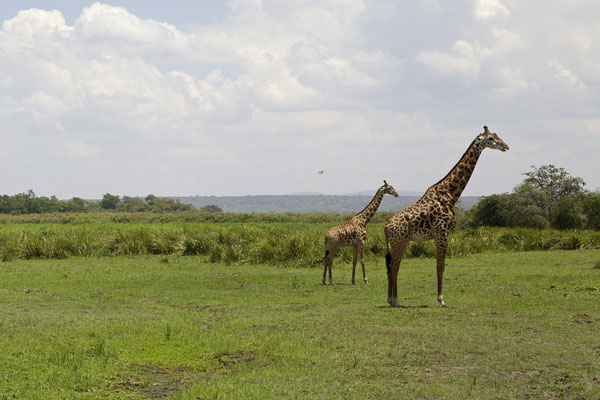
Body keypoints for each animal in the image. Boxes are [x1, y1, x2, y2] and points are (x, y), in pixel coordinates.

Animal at [386, 126, 508, 308]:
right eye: (492, 139)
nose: (505, 146)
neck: (450, 194)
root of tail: (385, 227)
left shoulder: (445, 234)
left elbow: (441, 265)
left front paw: (441, 298)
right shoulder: (442, 233)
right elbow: (440, 265)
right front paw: (441, 300)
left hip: (400, 242)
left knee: (392, 265)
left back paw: (391, 299)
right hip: (399, 241)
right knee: (394, 266)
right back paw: (395, 300)